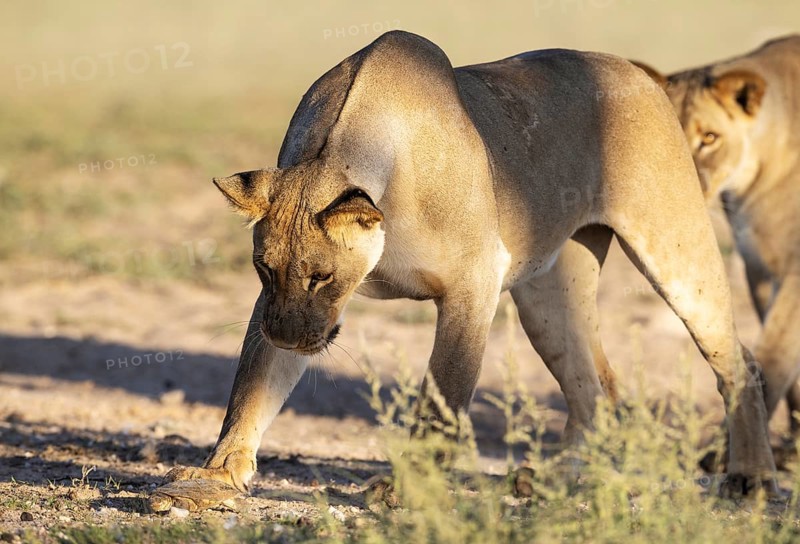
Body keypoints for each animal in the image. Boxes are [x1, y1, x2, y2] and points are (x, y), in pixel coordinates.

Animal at [150, 31, 776, 509]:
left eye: (322, 277)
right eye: (262, 269)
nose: (286, 335)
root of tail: (638, 72)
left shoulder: (474, 281)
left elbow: (442, 396)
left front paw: (407, 488)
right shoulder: (281, 308)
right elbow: (252, 385)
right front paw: (217, 474)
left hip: (674, 249)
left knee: (737, 359)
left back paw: (751, 478)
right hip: (548, 298)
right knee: (595, 388)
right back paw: (553, 482)